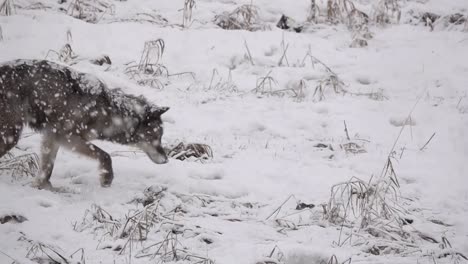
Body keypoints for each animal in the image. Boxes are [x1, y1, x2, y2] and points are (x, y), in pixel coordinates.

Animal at [0, 59, 169, 188]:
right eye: (156, 137)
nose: (166, 160)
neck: (106, 112)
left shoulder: (51, 137)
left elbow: (47, 169)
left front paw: (41, 186)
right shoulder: (67, 137)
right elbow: (105, 155)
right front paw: (106, 179)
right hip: (11, 136)